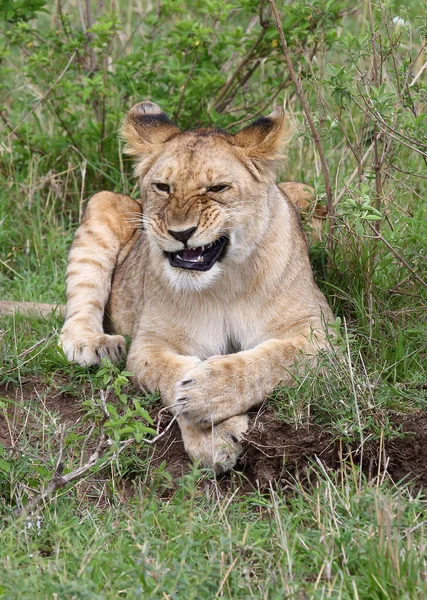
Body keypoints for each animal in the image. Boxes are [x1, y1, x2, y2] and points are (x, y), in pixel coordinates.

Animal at [1, 102, 334, 474]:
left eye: (217, 188)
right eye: (163, 186)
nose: (181, 233)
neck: (224, 282)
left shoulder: (321, 332)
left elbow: (273, 359)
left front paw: (208, 392)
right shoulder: (149, 343)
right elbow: (171, 375)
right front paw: (212, 434)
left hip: (307, 193)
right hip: (106, 202)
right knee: (79, 311)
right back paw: (95, 345)